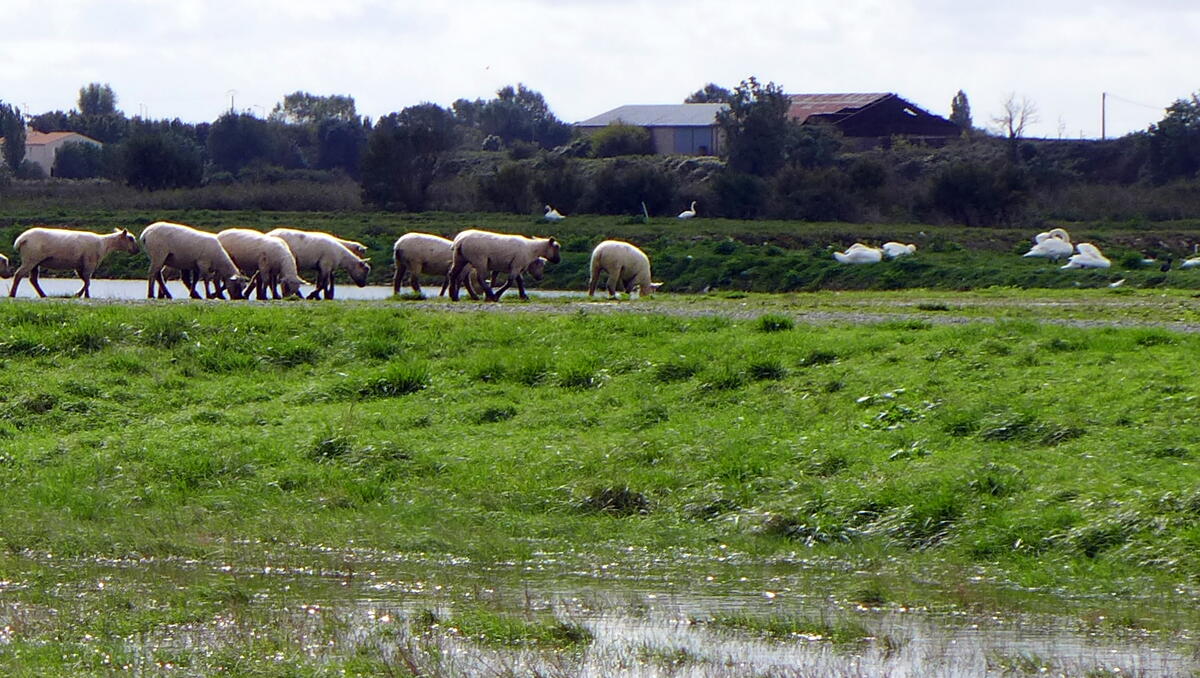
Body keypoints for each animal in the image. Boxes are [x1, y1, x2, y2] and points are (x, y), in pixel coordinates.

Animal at [7, 225, 139, 297]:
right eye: (130, 238)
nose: (137, 251)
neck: (104, 244)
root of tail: (21, 239)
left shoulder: (80, 265)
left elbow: (86, 281)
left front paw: (80, 295)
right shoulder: (89, 263)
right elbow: (87, 281)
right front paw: (83, 295)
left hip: (35, 261)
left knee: (33, 279)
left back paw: (43, 295)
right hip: (31, 258)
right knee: (18, 275)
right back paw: (12, 294)